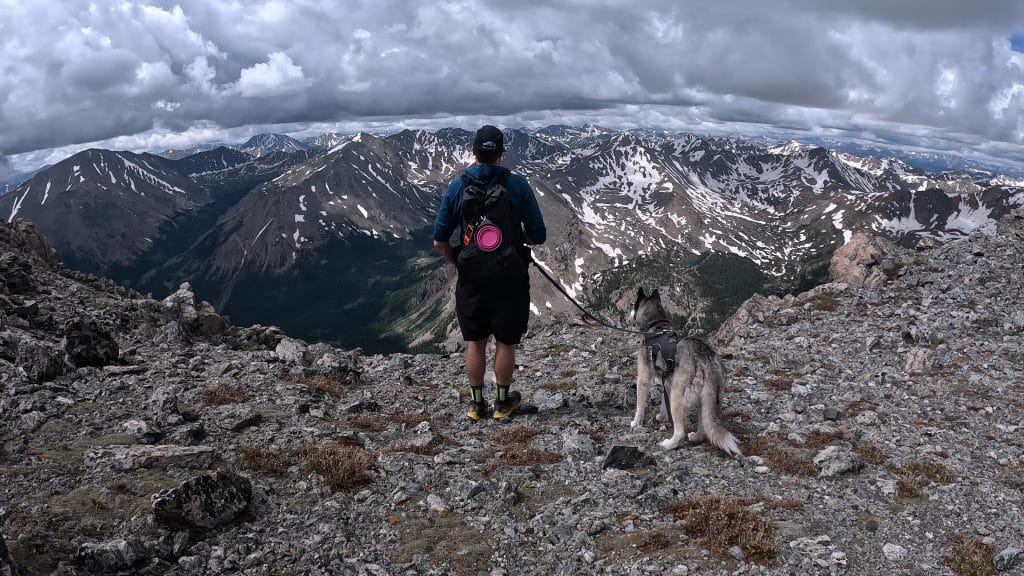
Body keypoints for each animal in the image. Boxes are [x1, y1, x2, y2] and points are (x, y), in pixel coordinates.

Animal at [626, 284, 741, 455]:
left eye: (634, 305)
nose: (629, 317)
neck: (656, 324)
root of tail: (706, 360)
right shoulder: (667, 380)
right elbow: (663, 401)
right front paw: (662, 417)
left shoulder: (644, 377)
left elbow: (640, 403)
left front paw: (636, 422)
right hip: (709, 396)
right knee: (705, 424)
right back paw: (696, 436)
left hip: (678, 396)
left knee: (680, 431)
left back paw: (670, 443)